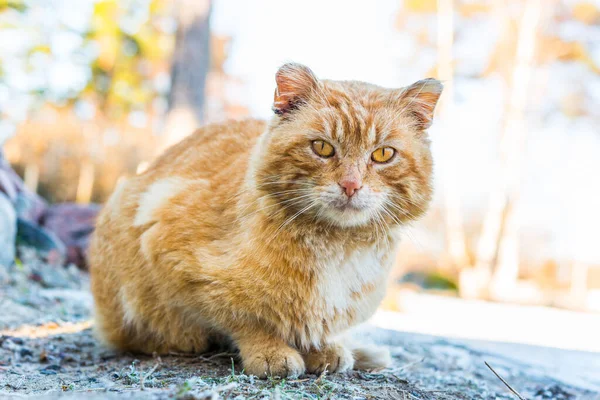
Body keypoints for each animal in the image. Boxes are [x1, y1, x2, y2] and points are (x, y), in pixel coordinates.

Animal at [89, 62, 440, 378]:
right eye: (322, 147)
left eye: (383, 154)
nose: (351, 185)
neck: (338, 244)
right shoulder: (165, 236)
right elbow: (244, 318)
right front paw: (270, 351)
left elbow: (316, 329)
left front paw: (324, 348)